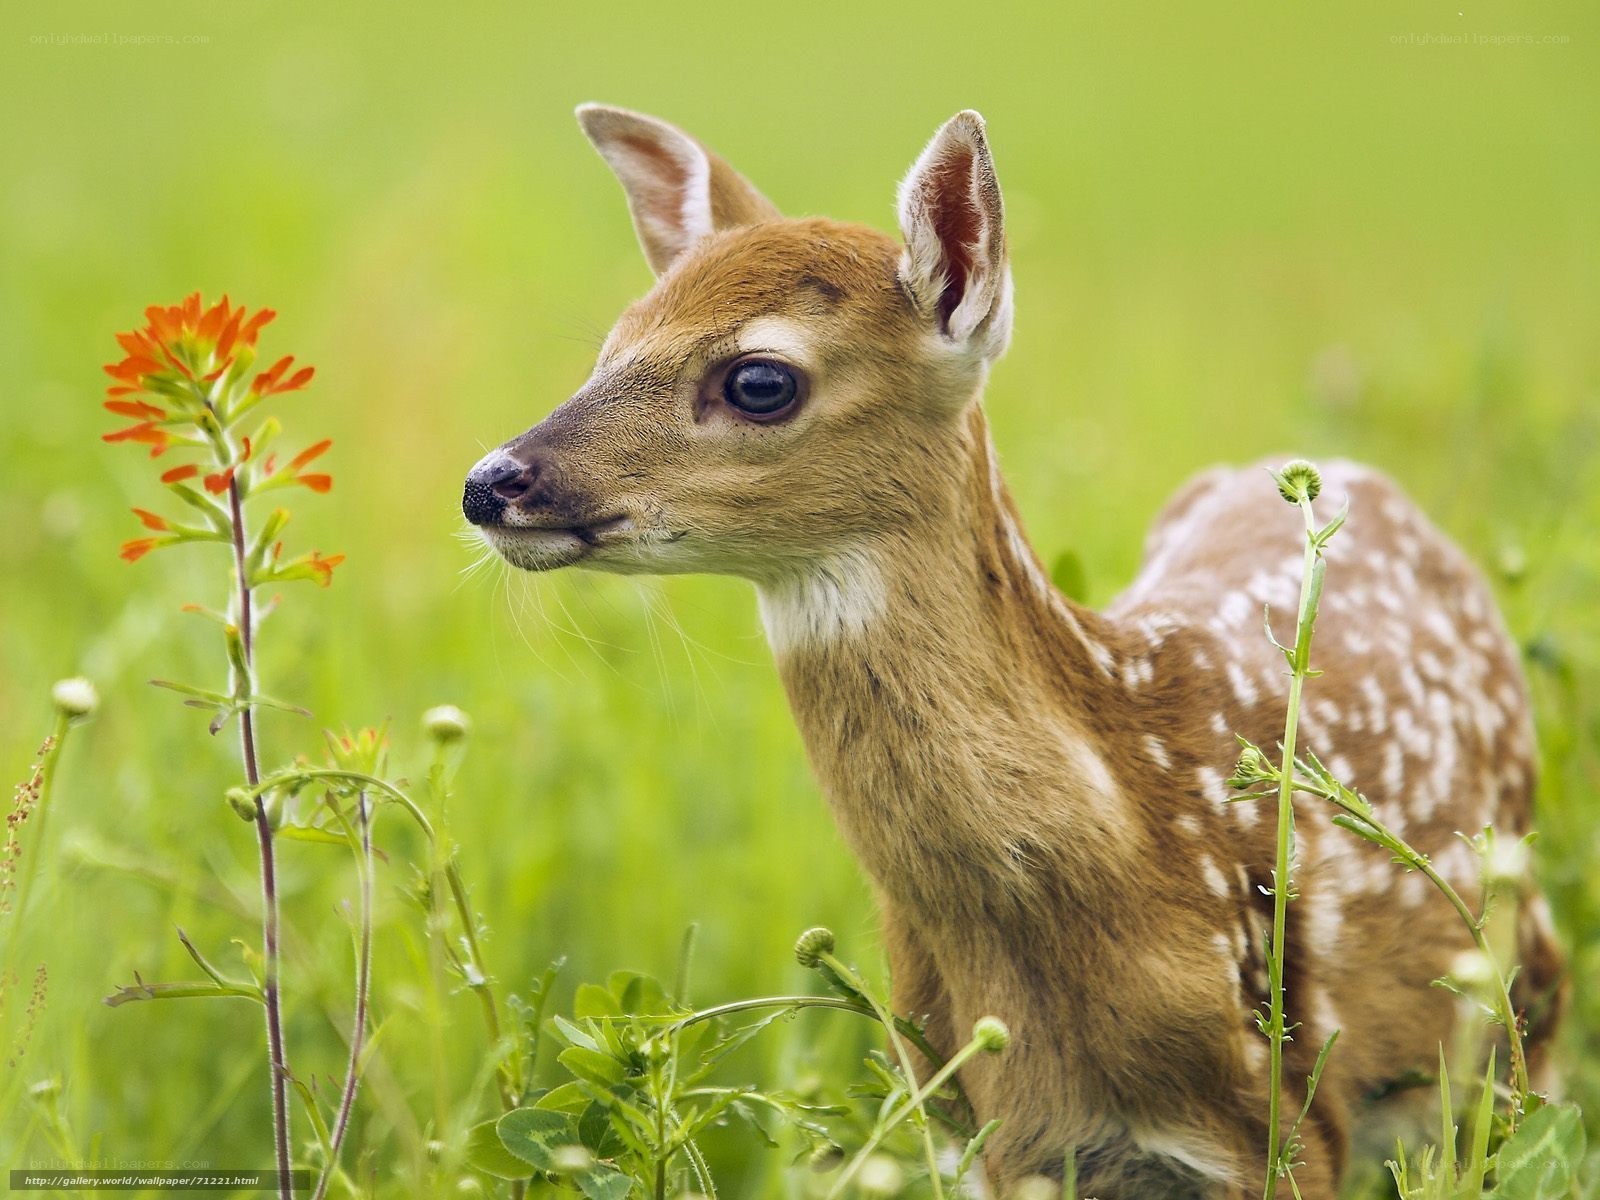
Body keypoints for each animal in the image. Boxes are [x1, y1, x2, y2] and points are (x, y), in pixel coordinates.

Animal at [461, 105, 1565, 1198]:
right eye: (614, 343)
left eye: (759, 379)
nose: (491, 482)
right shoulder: (980, 1133)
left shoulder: (1289, 1120)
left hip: (1525, 1011)